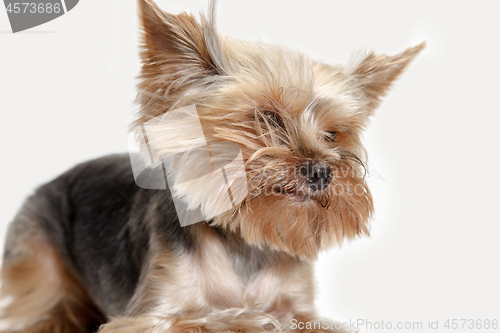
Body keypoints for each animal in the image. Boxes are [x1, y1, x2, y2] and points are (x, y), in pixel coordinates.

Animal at [0, 1, 424, 330]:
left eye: (334, 134)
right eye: (267, 119)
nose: (322, 172)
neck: (245, 242)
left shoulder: (301, 306)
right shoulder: (151, 314)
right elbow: (213, 319)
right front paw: (253, 319)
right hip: (39, 258)